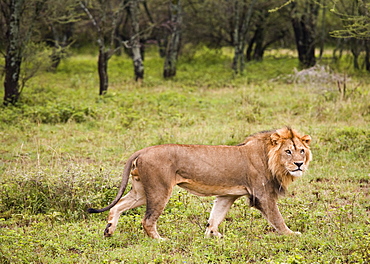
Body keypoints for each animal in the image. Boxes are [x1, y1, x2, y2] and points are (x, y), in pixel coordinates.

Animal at [89, 127, 312, 238]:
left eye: (301, 150)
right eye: (288, 151)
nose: (299, 164)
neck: (271, 160)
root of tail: (143, 150)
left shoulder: (227, 195)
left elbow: (215, 216)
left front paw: (212, 235)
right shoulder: (262, 195)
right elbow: (277, 218)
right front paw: (292, 234)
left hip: (141, 191)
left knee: (118, 205)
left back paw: (109, 230)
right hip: (159, 189)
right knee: (147, 220)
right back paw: (160, 240)